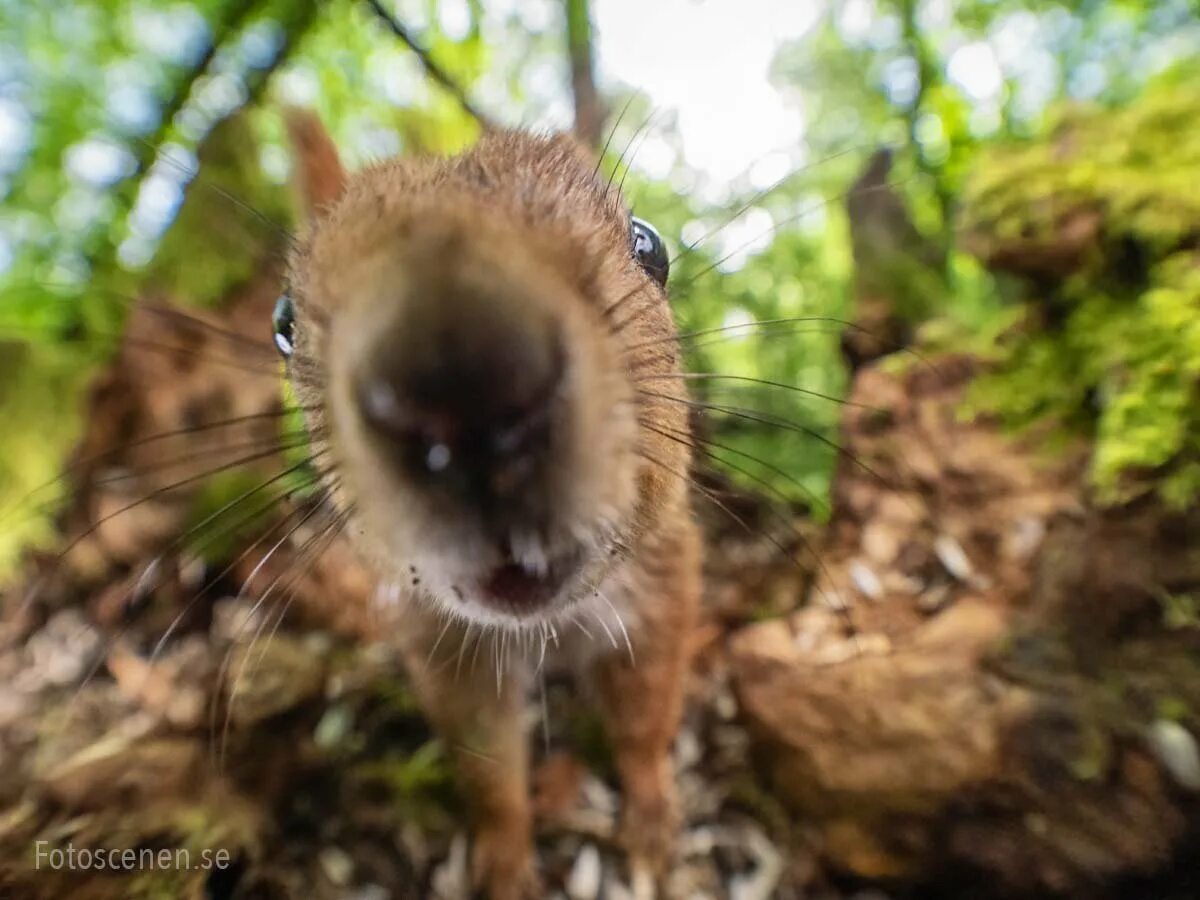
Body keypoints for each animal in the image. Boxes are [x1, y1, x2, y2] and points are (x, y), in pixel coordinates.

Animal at [280, 114, 700, 900]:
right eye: (282, 323)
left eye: (649, 245)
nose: (460, 385)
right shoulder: (447, 651)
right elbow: (488, 770)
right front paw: (505, 864)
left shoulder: (662, 586)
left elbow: (645, 721)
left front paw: (653, 819)